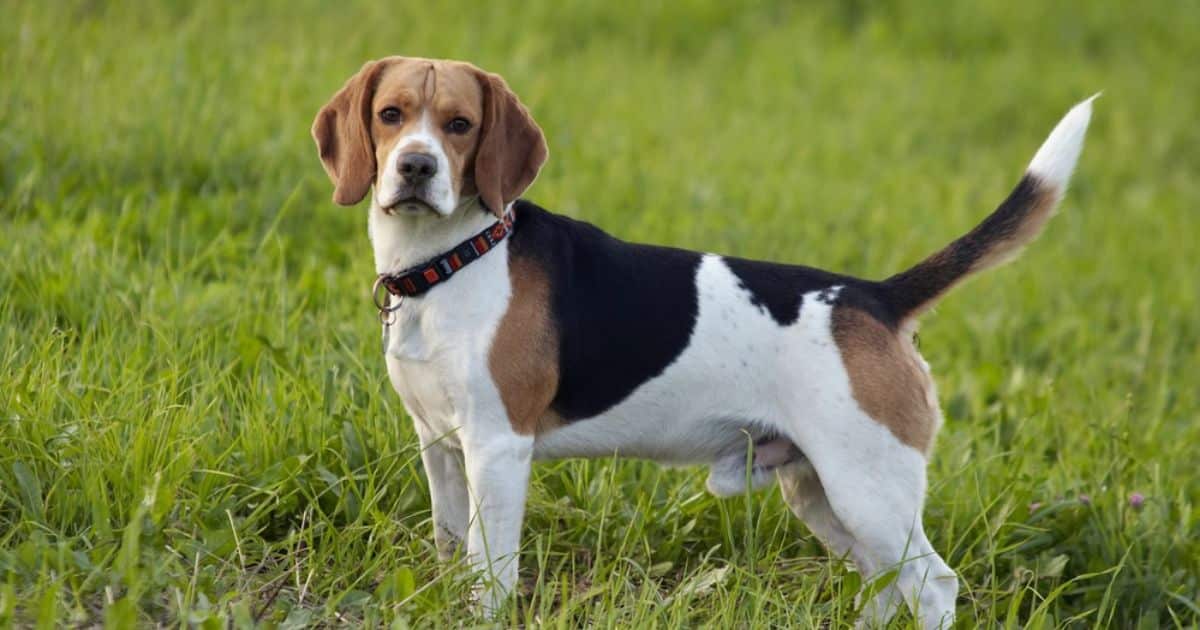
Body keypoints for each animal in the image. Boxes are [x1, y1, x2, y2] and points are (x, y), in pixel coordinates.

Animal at [314, 56, 1094, 624]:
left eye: (460, 124)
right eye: (390, 116)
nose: (416, 167)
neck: (453, 259)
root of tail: (876, 296)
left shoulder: (499, 450)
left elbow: (491, 570)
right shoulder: (440, 446)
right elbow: (452, 549)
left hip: (869, 486)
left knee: (932, 584)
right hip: (822, 492)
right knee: (885, 582)